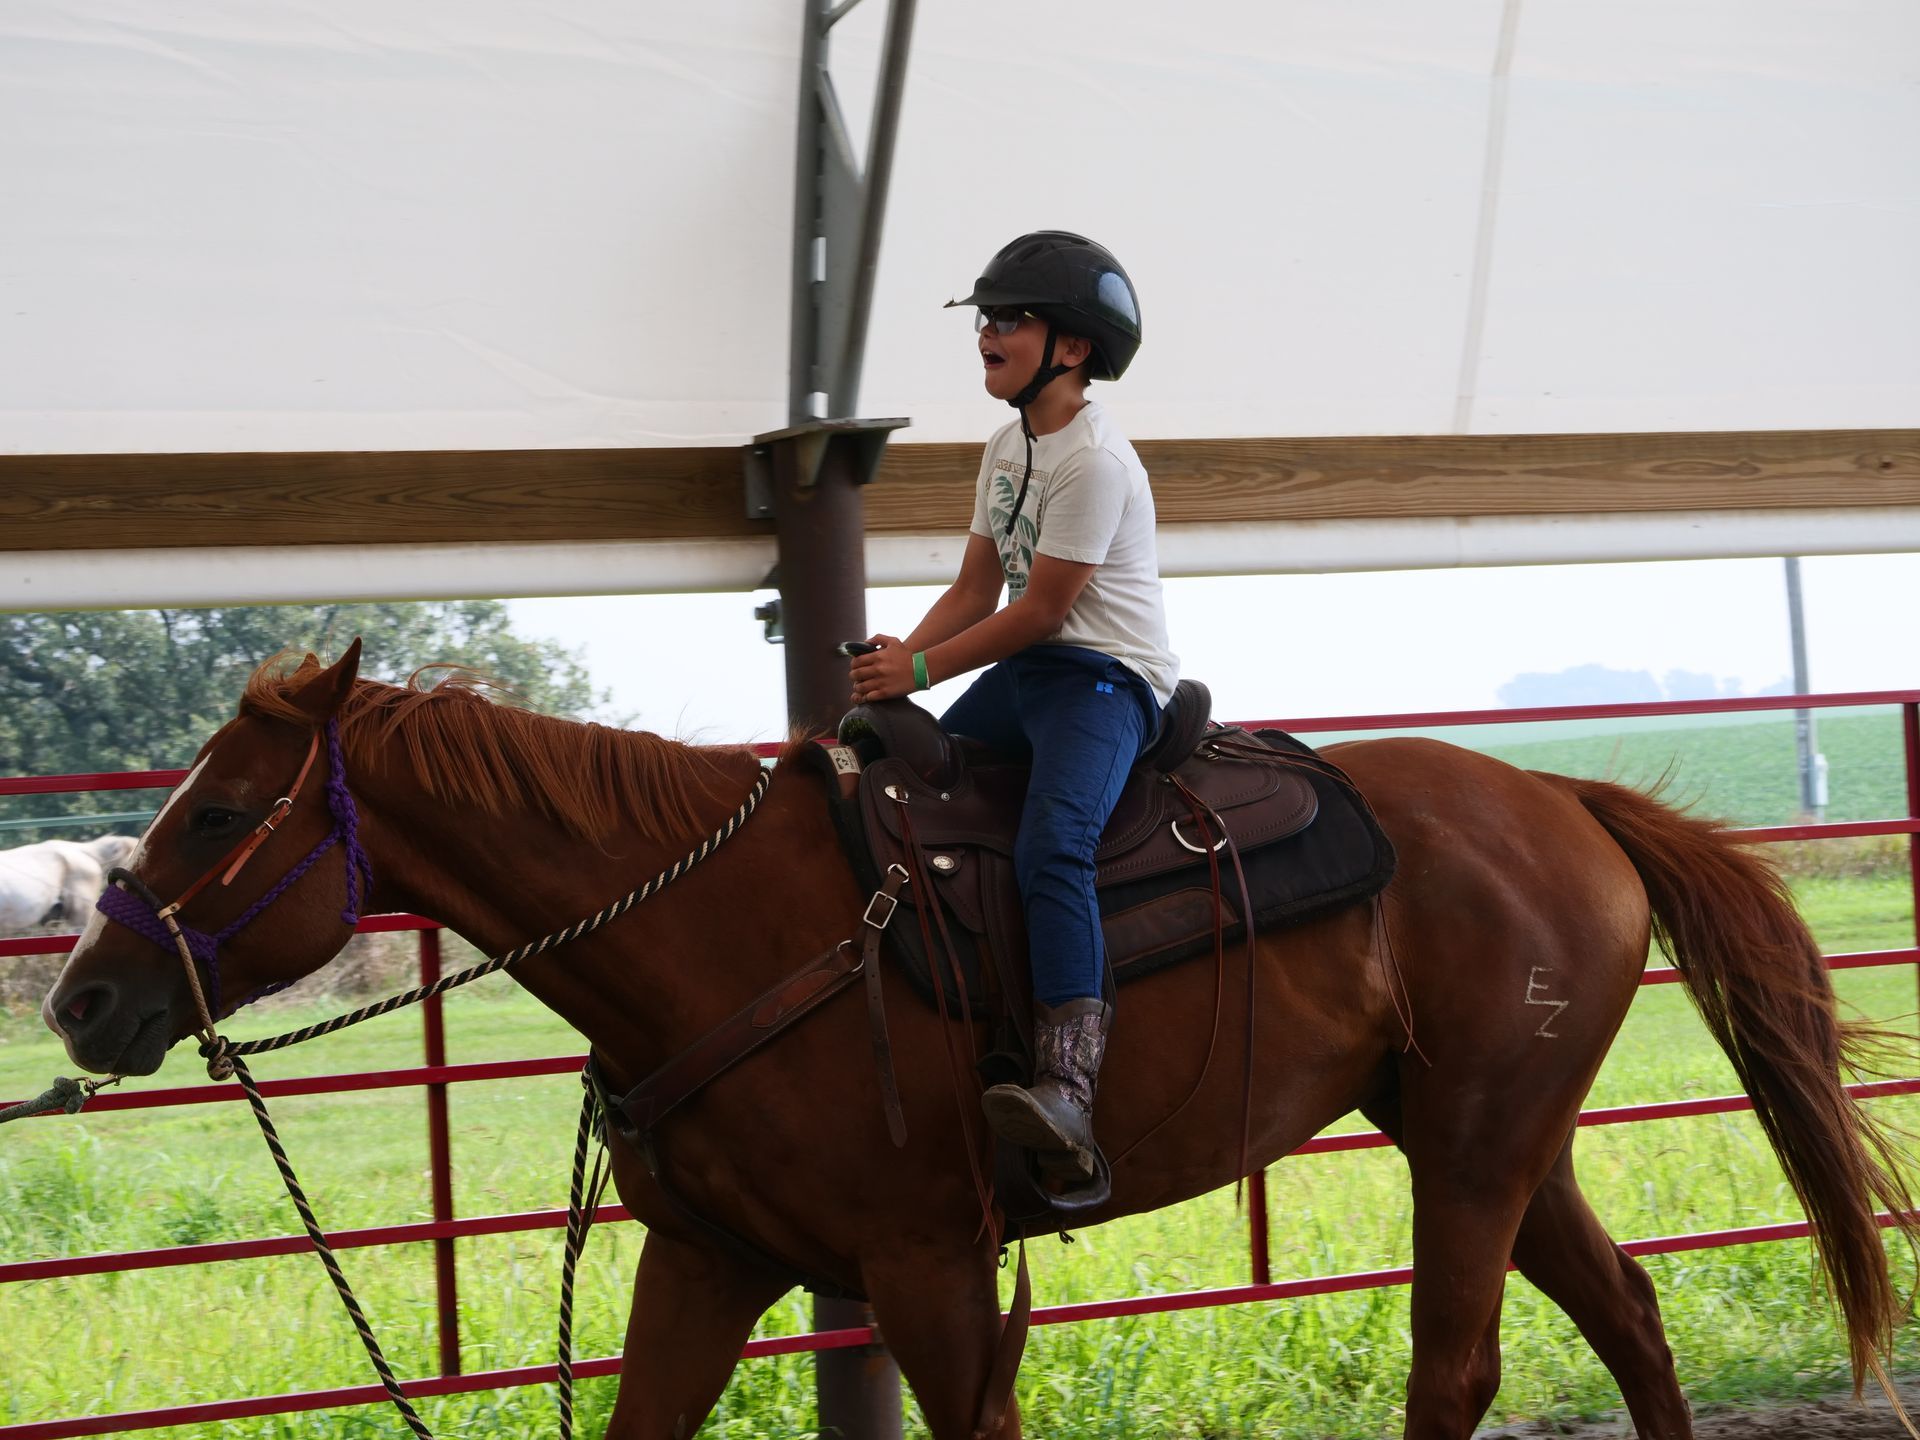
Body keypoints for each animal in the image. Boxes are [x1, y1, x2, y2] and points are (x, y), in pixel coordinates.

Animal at [39, 642, 1918, 1440]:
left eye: (220, 815)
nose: (81, 1002)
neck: (718, 934)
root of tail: (1566, 801)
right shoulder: (711, 1262)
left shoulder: (931, 1266)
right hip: (1493, 1137)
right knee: (1628, 1316)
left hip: (1470, 1146)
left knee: (1455, 1372)